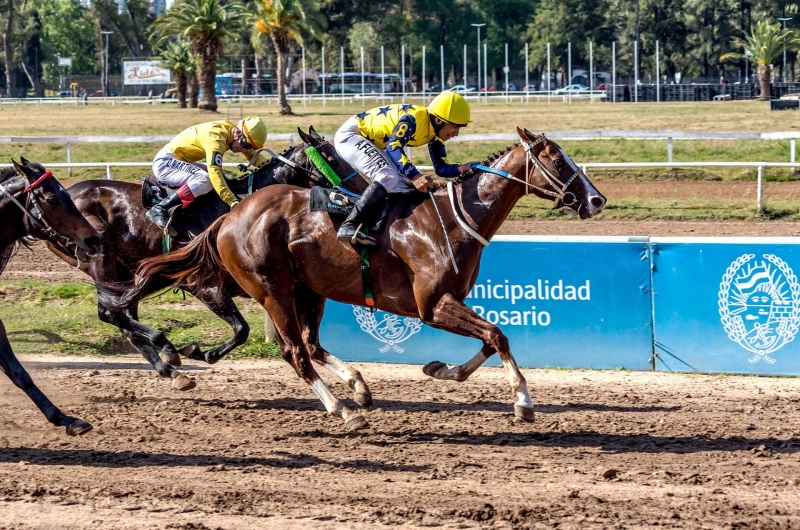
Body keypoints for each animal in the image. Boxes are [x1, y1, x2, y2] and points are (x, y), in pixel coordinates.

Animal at [47, 128, 366, 388]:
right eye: (333, 159)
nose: (362, 190)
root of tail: (66, 192)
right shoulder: (205, 286)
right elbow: (242, 330)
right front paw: (200, 351)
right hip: (103, 264)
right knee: (110, 313)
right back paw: (166, 348)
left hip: (128, 274)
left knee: (122, 316)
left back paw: (171, 369)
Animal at [122, 128, 604, 428]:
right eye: (557, 159)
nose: (596, 200)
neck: (454, 218)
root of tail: (229, 216)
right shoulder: (432, 306)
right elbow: (498, 335)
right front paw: (523, 402)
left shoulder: (450, 301)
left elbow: (489, 339)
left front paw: (441, 369)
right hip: (272, 289)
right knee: (294, 351)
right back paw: (342, 409)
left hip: (308, 290)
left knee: (310, 344)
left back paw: (358, 388)